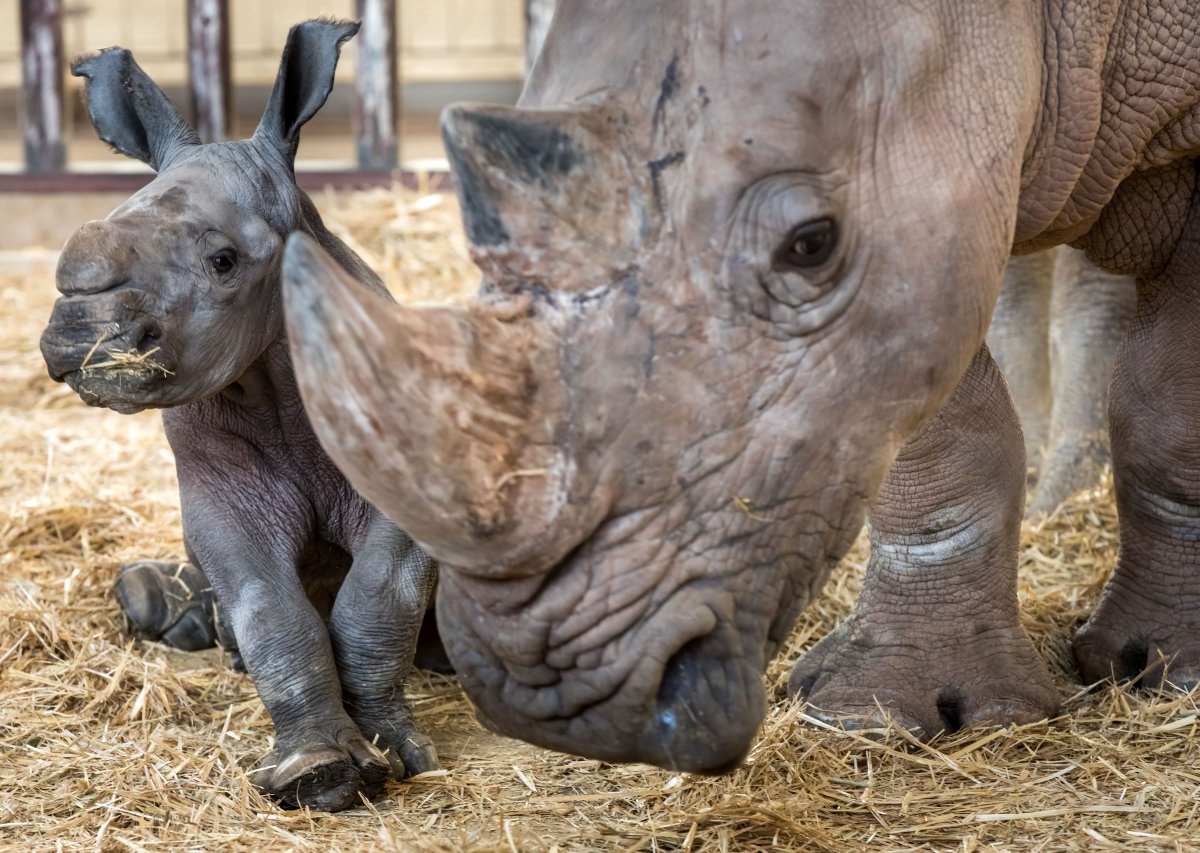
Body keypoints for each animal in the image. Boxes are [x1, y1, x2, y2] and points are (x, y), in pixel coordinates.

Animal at [37, 16, 441, 811]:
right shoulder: (220, 490)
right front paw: (319, 774)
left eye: (223, 262)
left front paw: (394, 751)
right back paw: (164, 607)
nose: (77, 333)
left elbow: (377, 599)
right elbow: (269, 605)